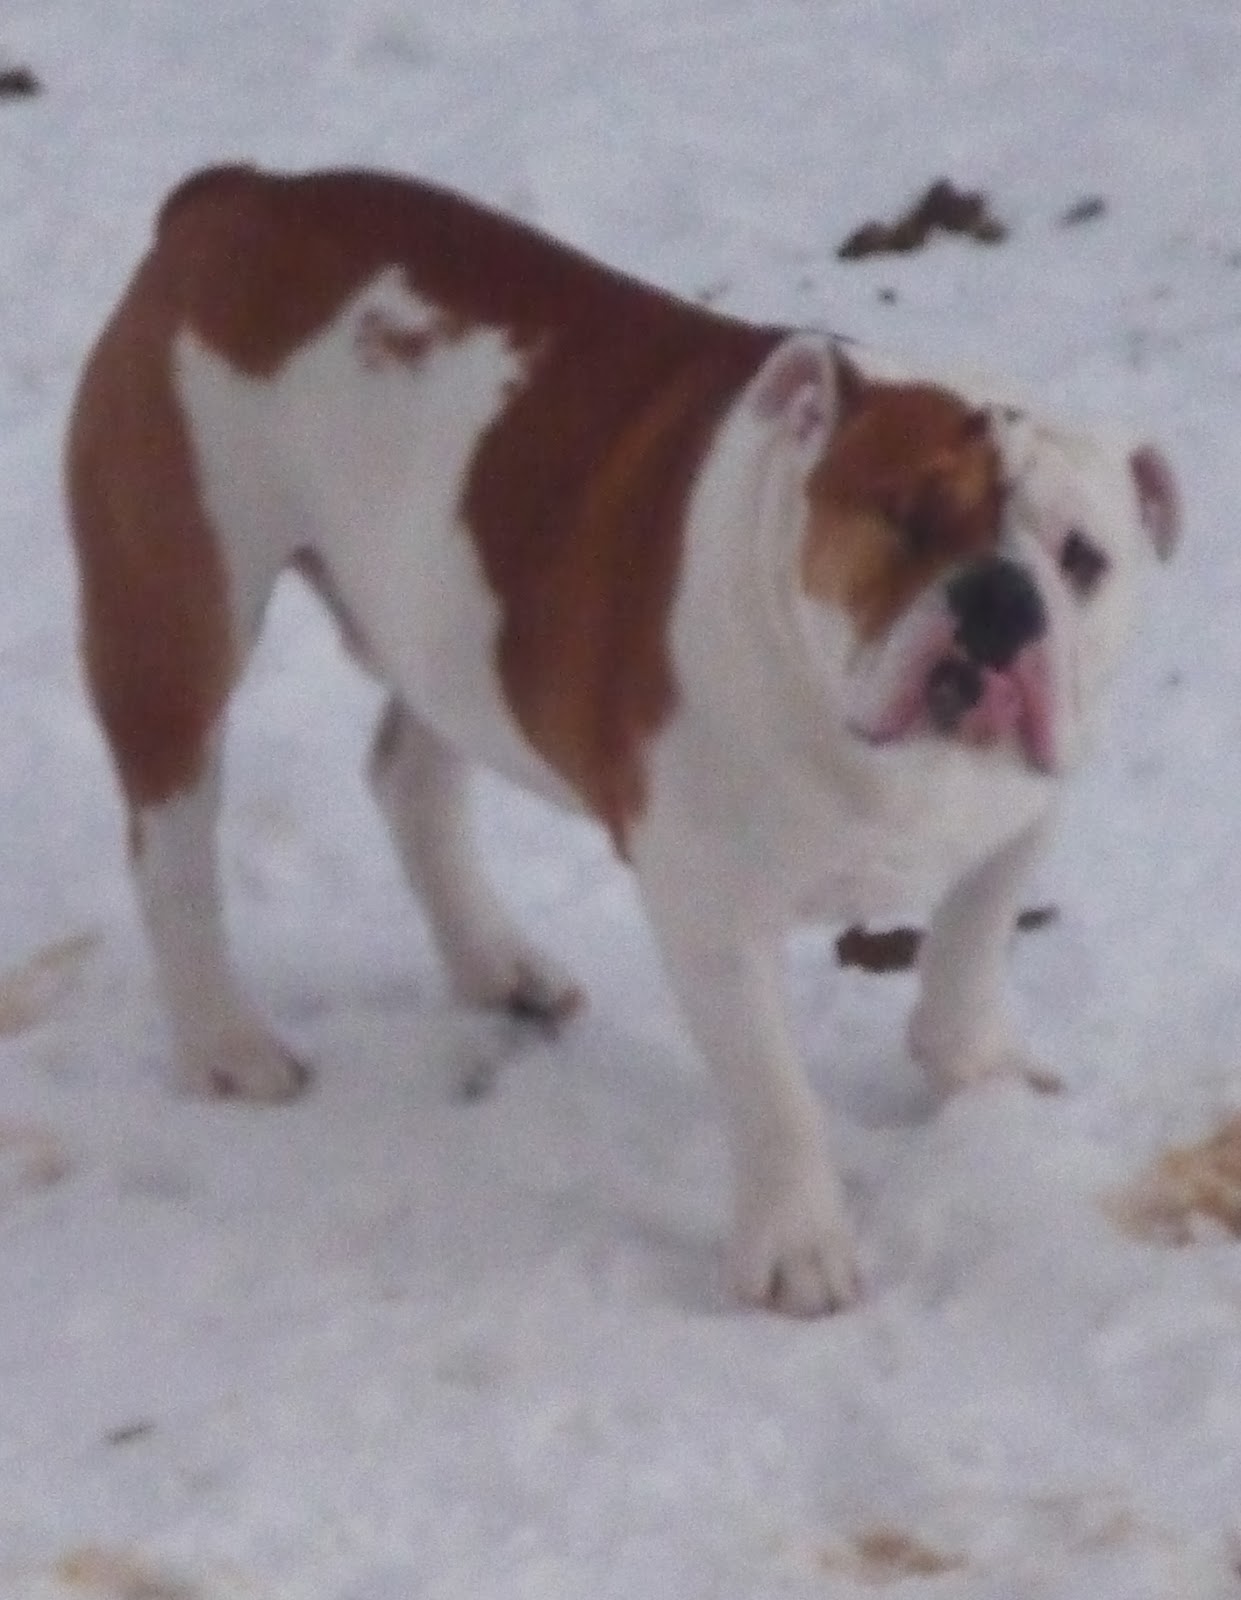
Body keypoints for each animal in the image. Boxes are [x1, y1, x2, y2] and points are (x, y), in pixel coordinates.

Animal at [65, 165, 1180, 1314]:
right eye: (902, 518)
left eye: (1081, 556)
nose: (999, 599)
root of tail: (234, 196)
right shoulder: (710, 910)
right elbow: (773, 1090)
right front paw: (797, 1245)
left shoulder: (1020, 818)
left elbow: (969, 948)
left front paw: (980, 1075)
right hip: (176, 613)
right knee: (173, 849)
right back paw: (225, 1044)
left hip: (448, 630)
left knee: (408, 776)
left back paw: (495, 962)